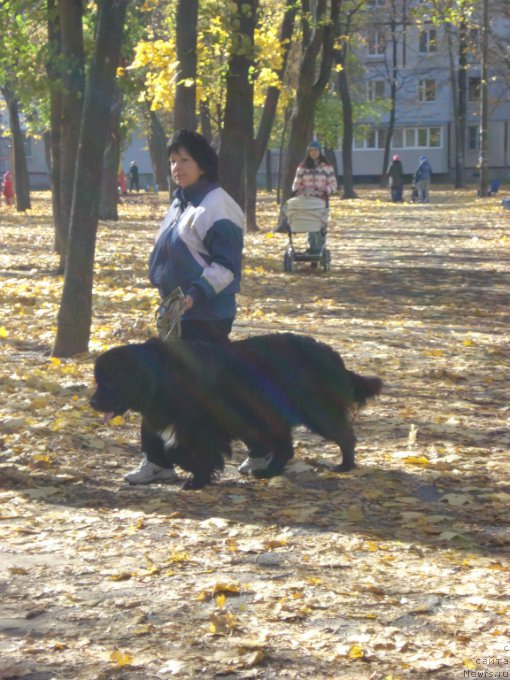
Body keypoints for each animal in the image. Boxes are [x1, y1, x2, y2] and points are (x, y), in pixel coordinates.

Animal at [89, 330, 380, 486]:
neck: (159, 376)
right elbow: (174, 451)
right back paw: (269, 471)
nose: (92, 402)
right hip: (269, 417)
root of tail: (331, 355)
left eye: (108, 383)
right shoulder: (184, 425)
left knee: (344, 436)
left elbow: (192, 451)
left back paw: (345, 465)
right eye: (98, 381)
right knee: (285, 447)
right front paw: (200, 473)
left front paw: (198, 479)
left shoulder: (202, 426)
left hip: (311, 410)